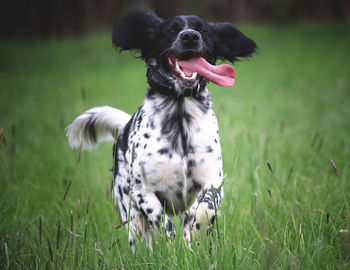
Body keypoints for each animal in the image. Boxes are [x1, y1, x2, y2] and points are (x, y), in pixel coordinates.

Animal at [66, 10, 258, 251]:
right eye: (171, 30)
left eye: (203, 29)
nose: (190, 36)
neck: (179, 114)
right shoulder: (143, 191)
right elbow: (163, 221)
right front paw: (175, 246)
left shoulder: (213, 181)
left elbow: (204, 210)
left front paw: (196, 234)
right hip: (130, 213)